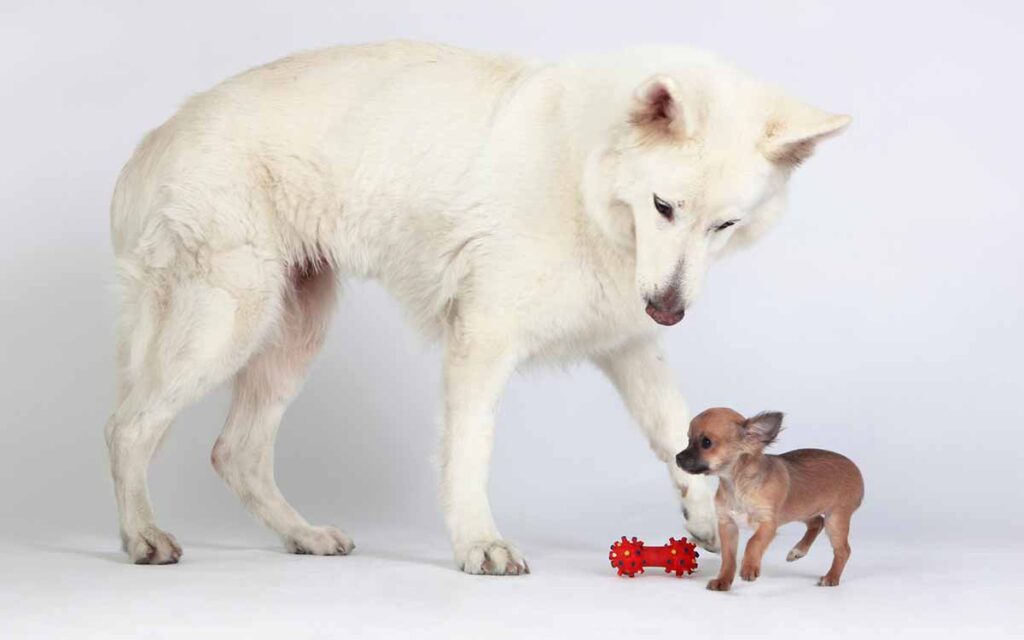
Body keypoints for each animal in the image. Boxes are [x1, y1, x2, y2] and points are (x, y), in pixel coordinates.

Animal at [108, 41, 851, 573]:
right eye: (665, 206)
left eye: (725, 225)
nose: (669, 309)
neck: (586, 181)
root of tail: (161, 131)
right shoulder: (483, 340)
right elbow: (469, 452)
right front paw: (478, 545)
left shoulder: (629, 344)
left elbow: (675, 427)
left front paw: (701, 510)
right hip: (228, 321)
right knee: (128, 426)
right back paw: (142, 535)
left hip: (294, 332)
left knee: (235, 452)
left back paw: (303, 535)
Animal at [679, 407, 864, 589]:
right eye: (688, 439)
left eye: (706, 442)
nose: (677, 457)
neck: (736, 485)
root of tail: (855, 469)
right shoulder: (727, 525)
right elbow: (728, 558)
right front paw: (723, 581)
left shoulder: (768, 523)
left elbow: (753, 541)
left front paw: (749, 567)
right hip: (801, 510)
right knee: (817, 522)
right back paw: (798, 551)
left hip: (835, 519)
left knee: (843, 550)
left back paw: (831, 577)